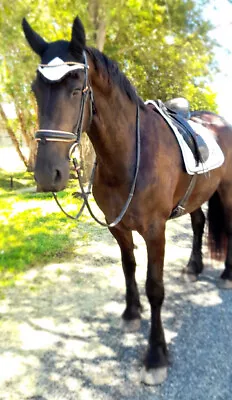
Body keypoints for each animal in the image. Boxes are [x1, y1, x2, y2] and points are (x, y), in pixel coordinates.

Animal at [21, 16, 232, 388]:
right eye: (35, 89)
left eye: (77, 88)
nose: (48, 173)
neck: (131, 152)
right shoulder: (118, 227)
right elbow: (128, 267)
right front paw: (132, 313)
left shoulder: (155, 230)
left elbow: (155, 287)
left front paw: (155, 356)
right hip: (198, 195)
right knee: (199, 225)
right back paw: (193, 268)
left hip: (229, 190)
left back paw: (228, 274)